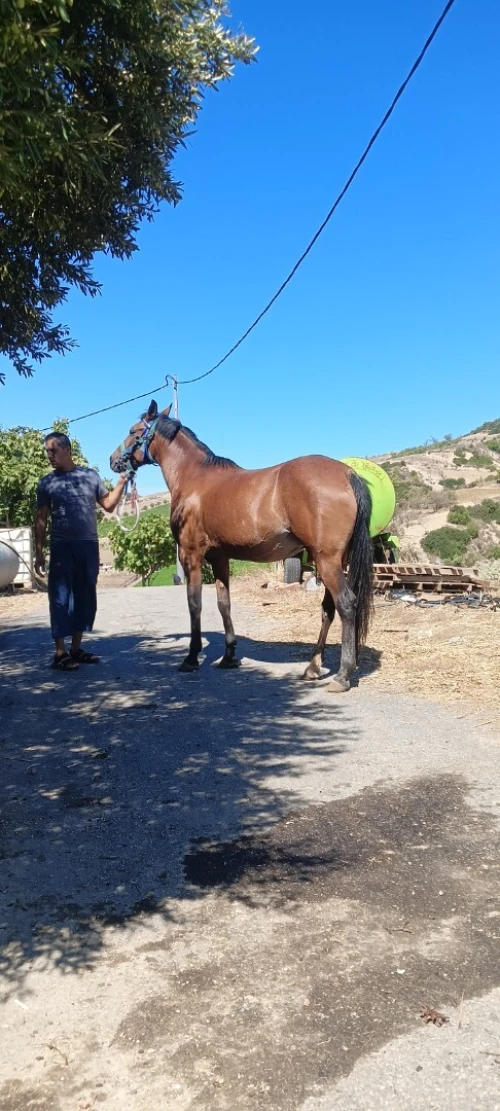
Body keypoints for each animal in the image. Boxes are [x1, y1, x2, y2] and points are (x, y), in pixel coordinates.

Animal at [110, 400, 373, 693]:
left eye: (133, 431)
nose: (113, 460)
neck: (194, 478)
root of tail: (347, 473)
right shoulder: (220, 558)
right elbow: (223, 603)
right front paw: (229, 656)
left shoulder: (191, 555)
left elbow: (194, 604)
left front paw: (191, 657)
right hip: (332, 561)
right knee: (328, 608)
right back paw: (313, 668)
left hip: (327, 560)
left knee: (346, 604)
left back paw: (342, 675)